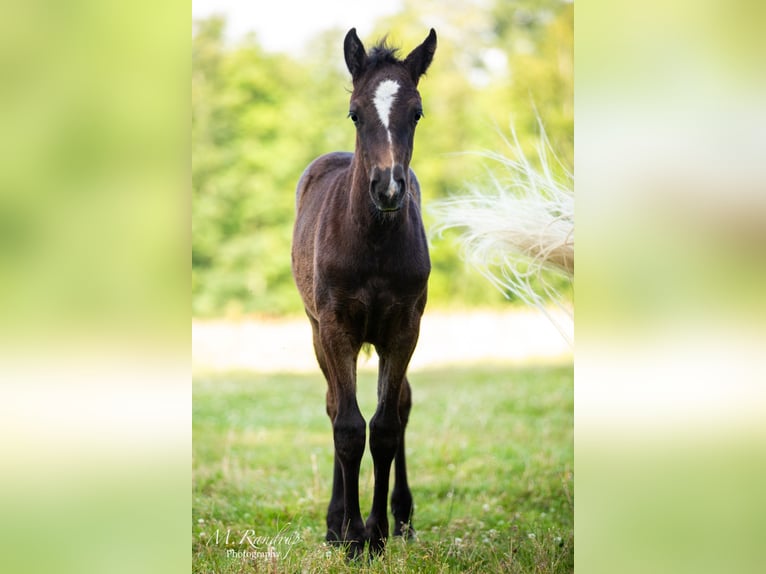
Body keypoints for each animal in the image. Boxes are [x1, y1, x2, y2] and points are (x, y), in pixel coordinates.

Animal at [292, 29, 438, 560]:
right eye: (355, 112)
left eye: (416, 112)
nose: (388, 188)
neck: (372, 240)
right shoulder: (336, 327)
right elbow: (349, 426)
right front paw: (352, 535)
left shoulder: (404, 328)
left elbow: (387, 426)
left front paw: (376, 531)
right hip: (318, 331)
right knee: (336, 406)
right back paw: (335, 522)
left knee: (400, 406)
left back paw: (403, 519)